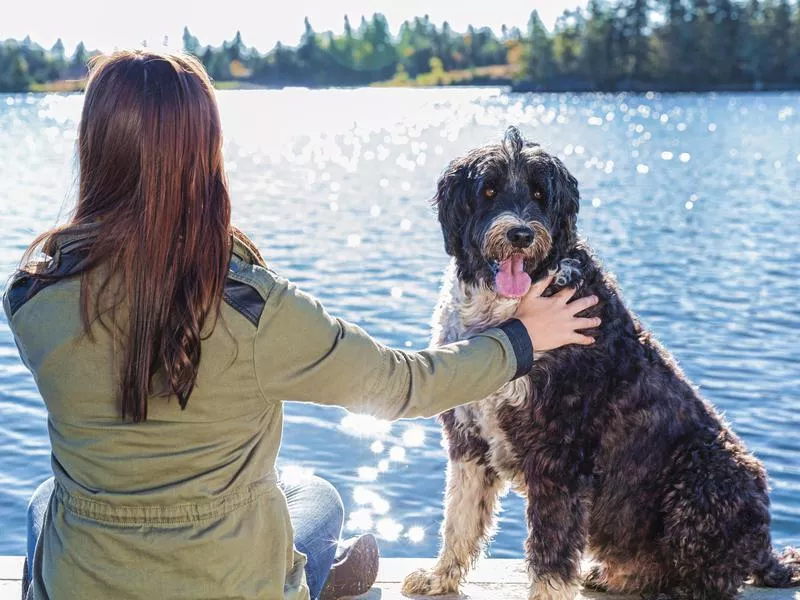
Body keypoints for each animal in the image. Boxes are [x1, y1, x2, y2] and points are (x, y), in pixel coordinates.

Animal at [404, 127, 796, 600]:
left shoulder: (562, 453)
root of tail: (766, 551)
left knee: (709, 578)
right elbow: (459, 520)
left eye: (540, 194)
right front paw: (439, 577)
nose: (520, 234)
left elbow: (551, 554)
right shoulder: (469, 440)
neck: (507, 311)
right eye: (489, 190)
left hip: (706, 478)